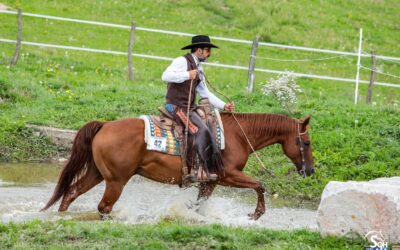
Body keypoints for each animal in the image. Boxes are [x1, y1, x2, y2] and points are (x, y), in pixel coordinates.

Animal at [42, 112, 314, 220]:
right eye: (307, 142)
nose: (310, 171)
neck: (237, 135)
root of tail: (105, 125)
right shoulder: (227, 175)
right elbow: (260, 184)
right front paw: (257, 214)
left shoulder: (209, 181)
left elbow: (199, 204)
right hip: (116, 181)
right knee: (104, 207)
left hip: (97, 173)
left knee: (71, 192)